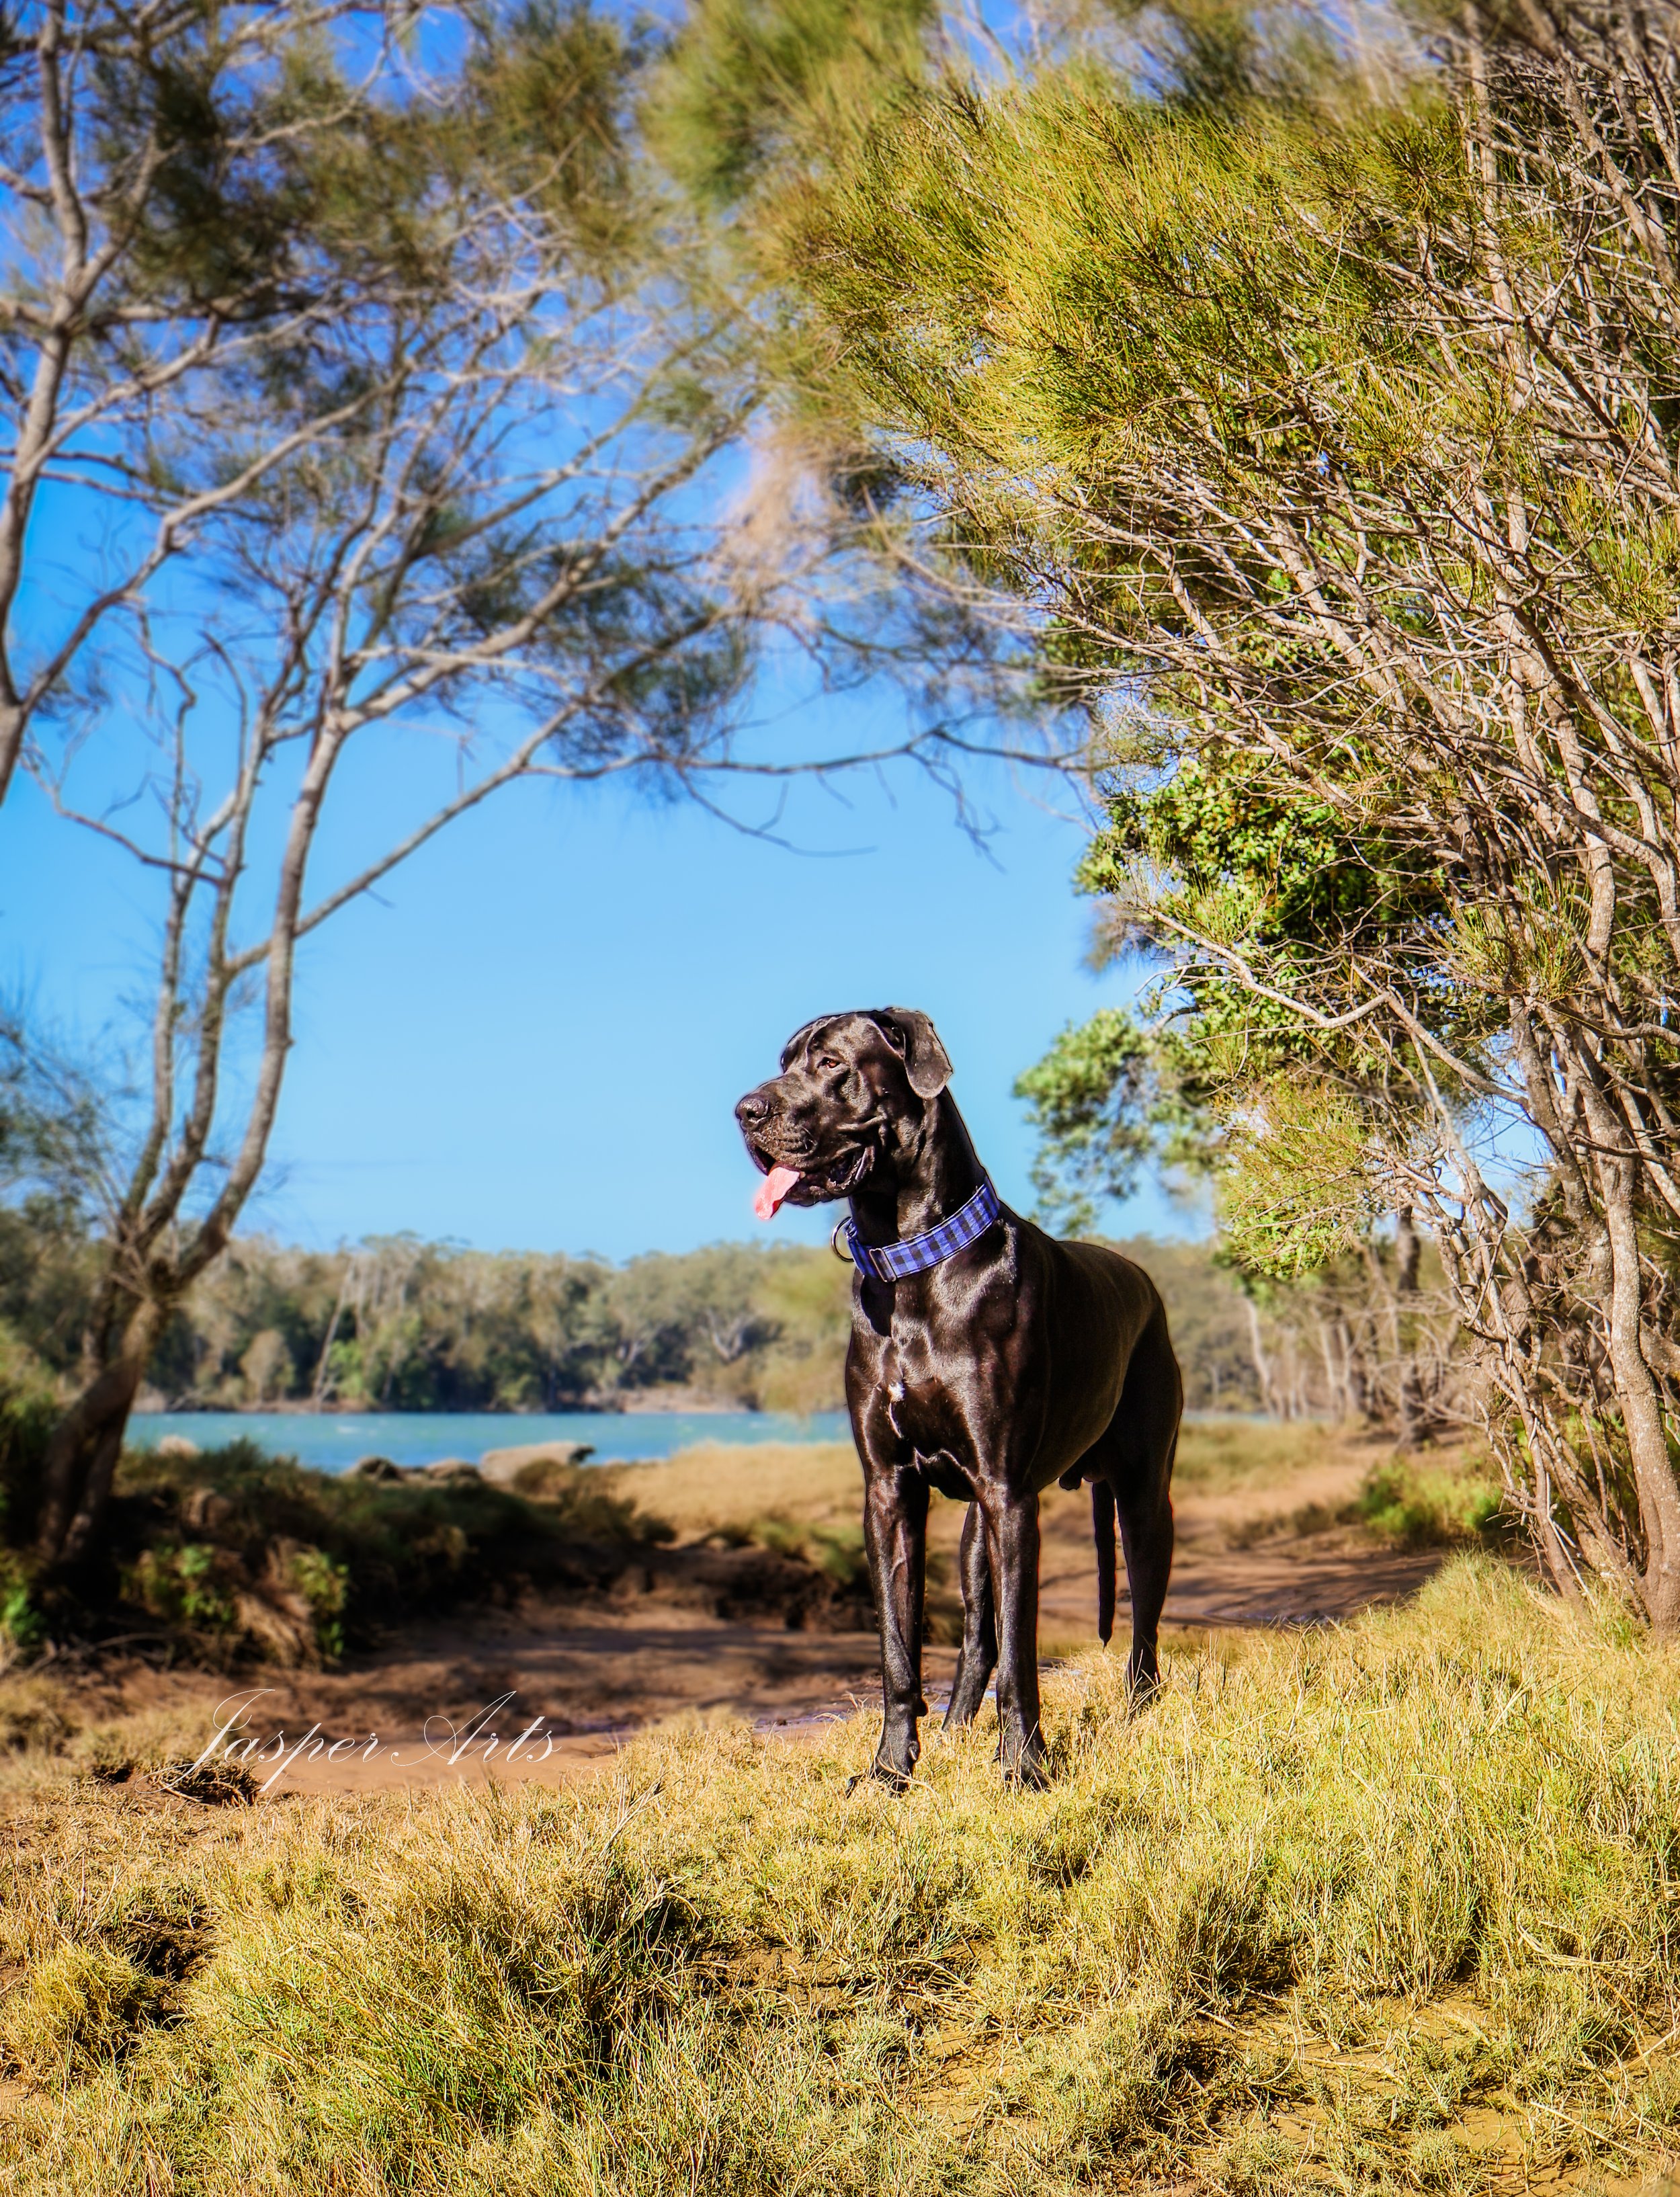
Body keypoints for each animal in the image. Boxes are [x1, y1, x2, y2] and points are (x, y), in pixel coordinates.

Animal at [736, 1007, 1181, 1786]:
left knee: (1143, 1623)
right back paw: (954, 1728)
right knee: (978, 1636)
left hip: (1142, 1496)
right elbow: (900, 1649)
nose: (745, 1111)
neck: (910, 1261)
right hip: (975, 1526)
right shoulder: (889, 1490)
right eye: (783, 1060)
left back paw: (1136, 1708)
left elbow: (1022, 1653)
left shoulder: (1010, 1494)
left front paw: (1025, 1768)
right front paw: (890, 1771)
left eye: (830, 1063)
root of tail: (1145, 1283)